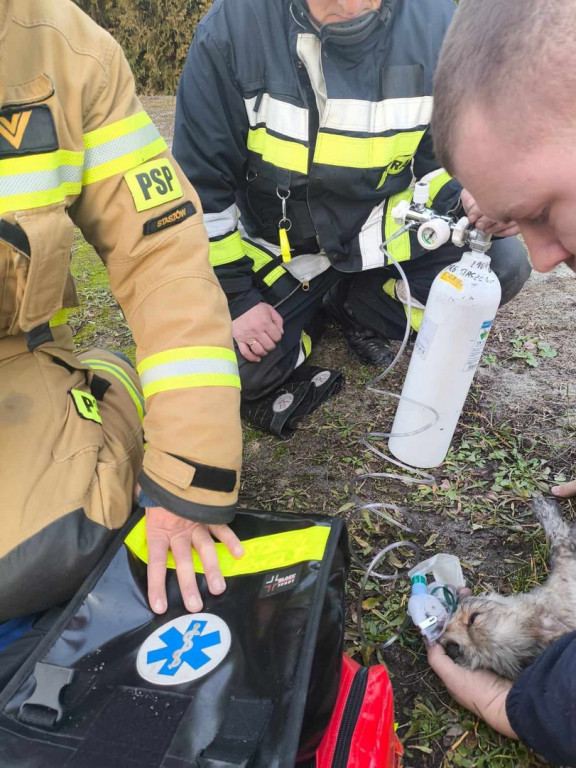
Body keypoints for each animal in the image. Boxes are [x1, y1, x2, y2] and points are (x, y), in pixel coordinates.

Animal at [440, 498, 576, 680]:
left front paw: (544, 507)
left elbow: (558, 534)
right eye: (455, 648)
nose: (443, 631)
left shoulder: (565, 559)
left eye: (473, 618)